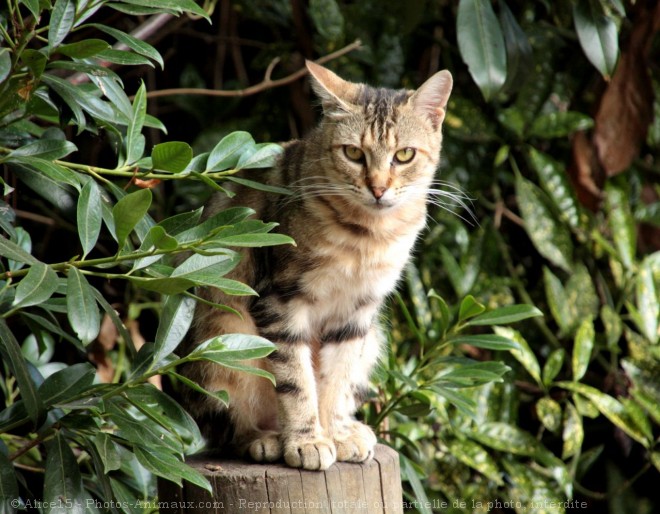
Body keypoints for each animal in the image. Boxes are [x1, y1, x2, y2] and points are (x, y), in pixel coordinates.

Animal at [178, 60, 452, 468]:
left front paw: (335, 434)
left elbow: (335, 380)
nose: (378, 188)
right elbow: (296, 380)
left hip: (373, 339)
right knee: (227, 427)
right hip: (223, 342)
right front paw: (307, 440)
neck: (367, 237)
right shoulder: (282, 302)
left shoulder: (356, 314)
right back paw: (265, 439)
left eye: (404, 155)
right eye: (353, 153)